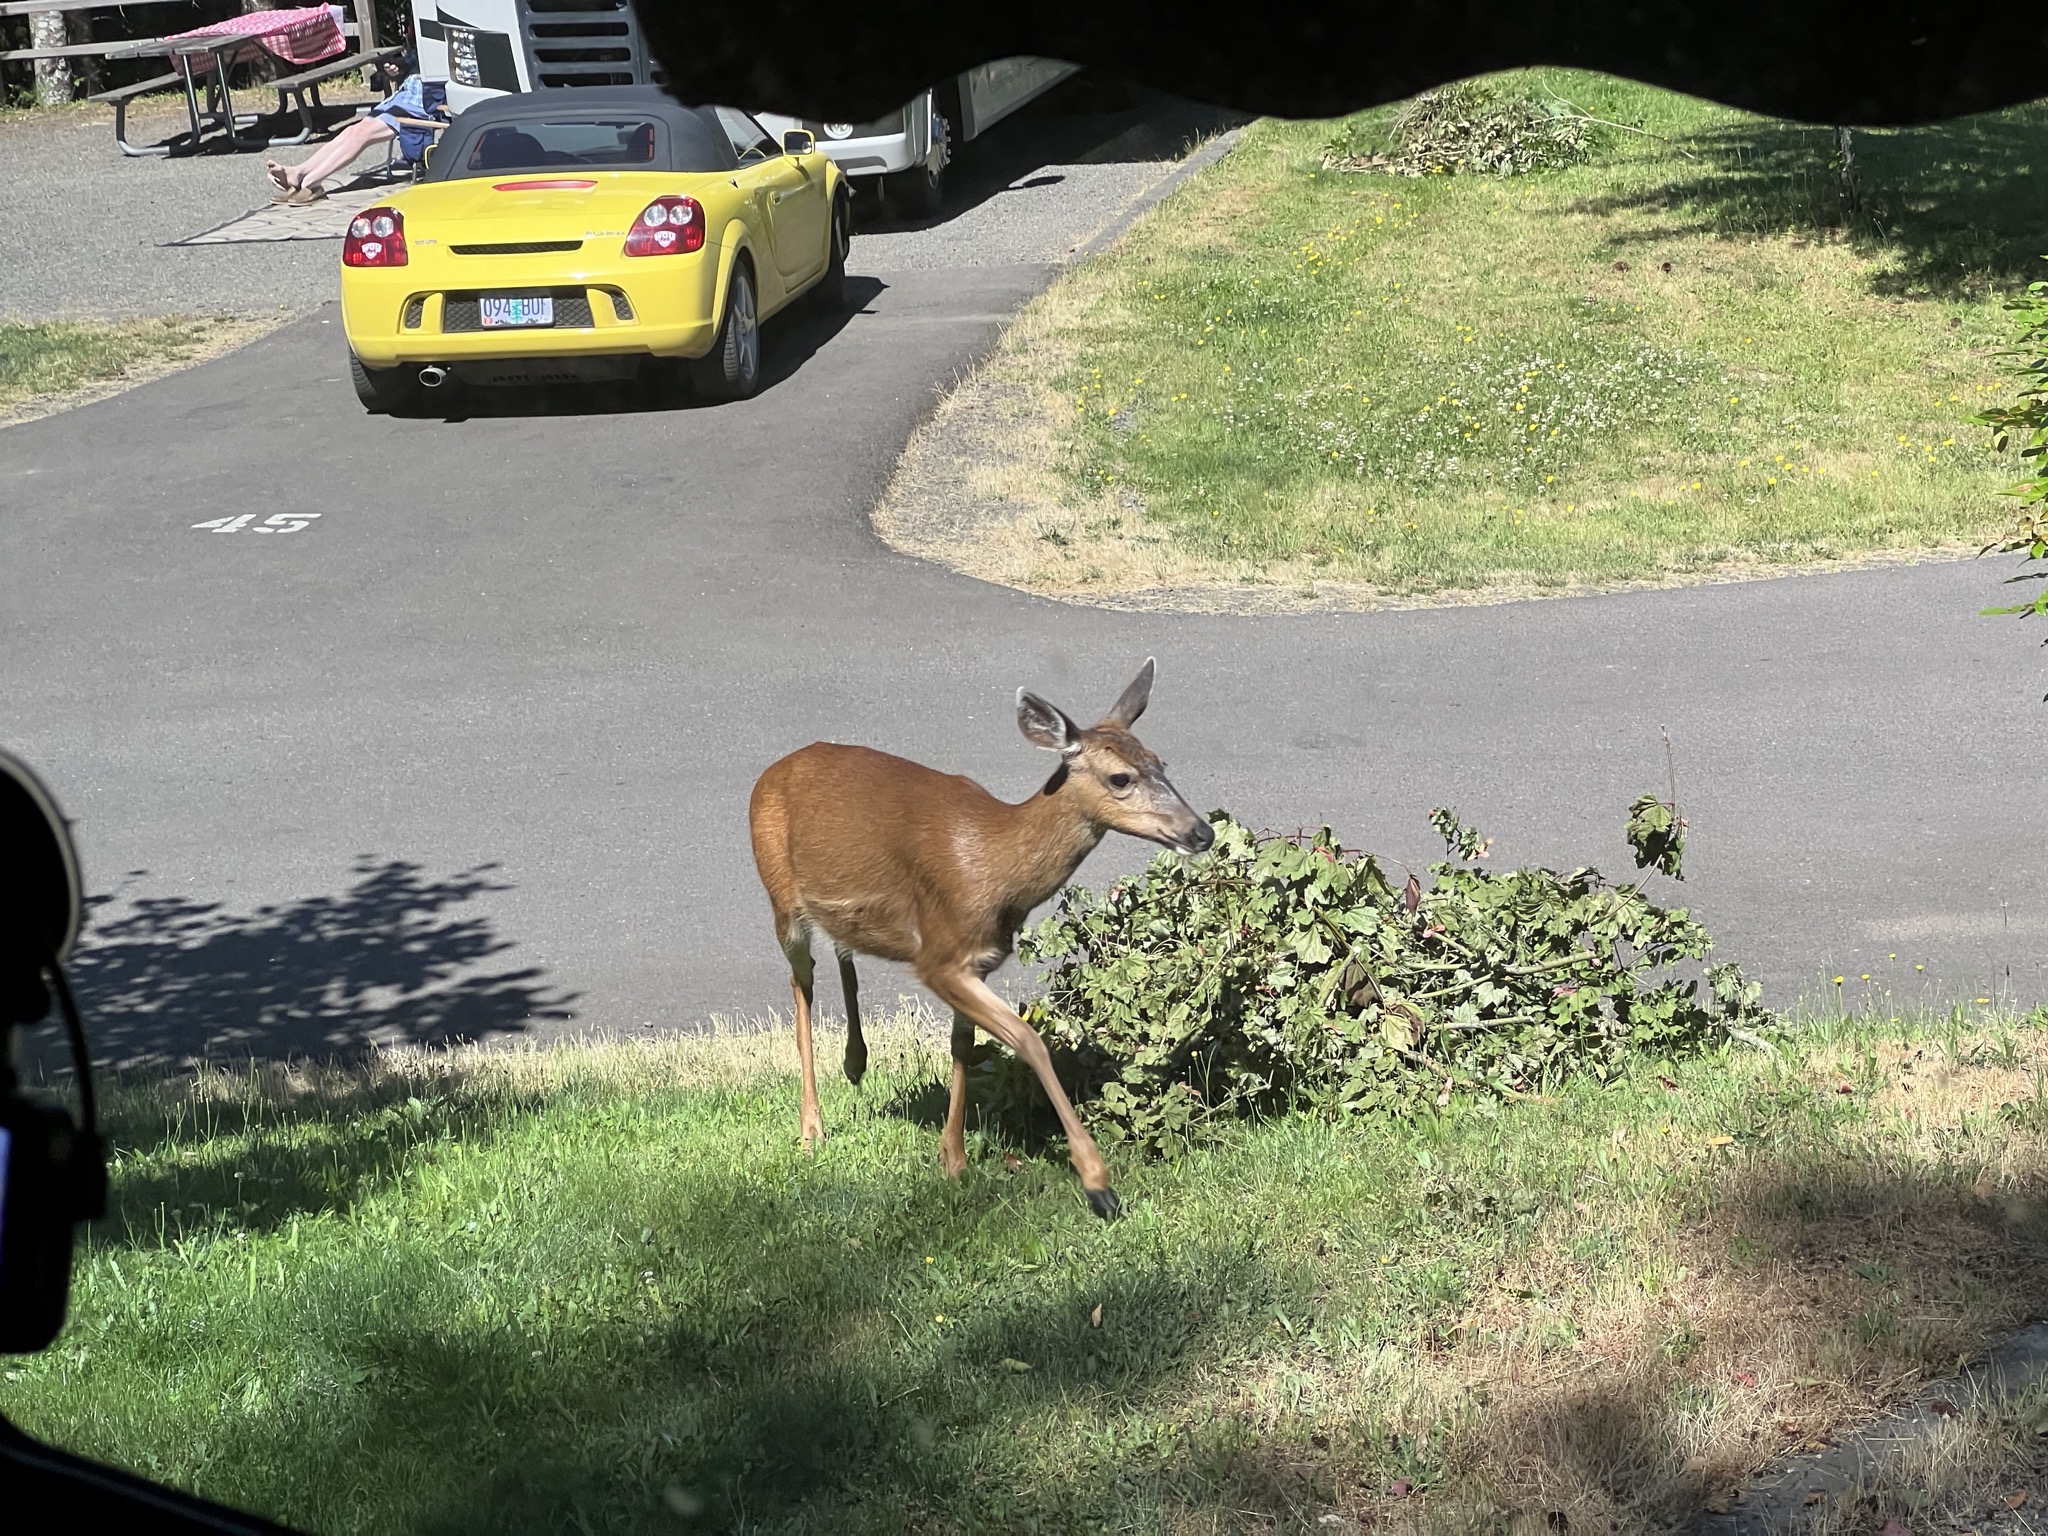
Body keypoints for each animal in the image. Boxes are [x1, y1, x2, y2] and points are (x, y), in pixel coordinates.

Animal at [747, 659, 1214, 1218]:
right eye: (1120, 777)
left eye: (1161, 762)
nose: (1202, 832)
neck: (996, 864)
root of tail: (771, 772)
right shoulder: (938, 957)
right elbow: (1029, 1041)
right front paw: (1097, 1183)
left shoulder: (978, 961)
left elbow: (962, 1045)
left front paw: (953, 1158)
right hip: (780, 896)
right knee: (802, 982)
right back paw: (812, 1128)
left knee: (842, 948)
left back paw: (856, 1062)